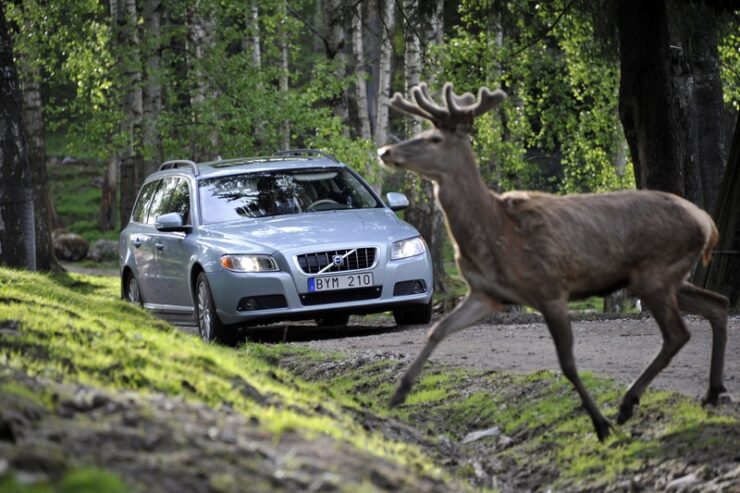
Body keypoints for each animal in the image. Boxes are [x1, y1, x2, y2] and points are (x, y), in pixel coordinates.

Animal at [378, 82, 732, 440]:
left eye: (435, 139)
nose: (385, 152)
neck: (495, 232)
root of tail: (707, 222)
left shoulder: (549, 288)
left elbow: (568, 363)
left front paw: (599, 424)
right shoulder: (487, 293)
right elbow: (437, 330)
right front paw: (398, 394)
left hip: (655, 273)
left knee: (678, 333)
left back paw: (628, 404)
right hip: (664, 278)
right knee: (718, 303)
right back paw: (710, 392)